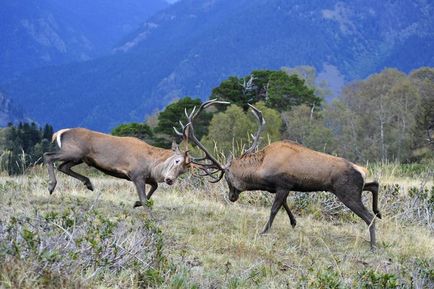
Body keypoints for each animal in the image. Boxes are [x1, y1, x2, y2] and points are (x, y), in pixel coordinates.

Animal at [45, 99, 382, 248]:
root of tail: (358, 167)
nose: (231, 196)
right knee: (374, 185)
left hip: (344, 190)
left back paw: (373, 241)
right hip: (352, 186)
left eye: (229, 179)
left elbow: (274, 208)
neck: (261, 168)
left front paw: (266, 230)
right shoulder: (282, 186)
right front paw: (293, 222)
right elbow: (283, 206)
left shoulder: (282, 184)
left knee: (368, 214)